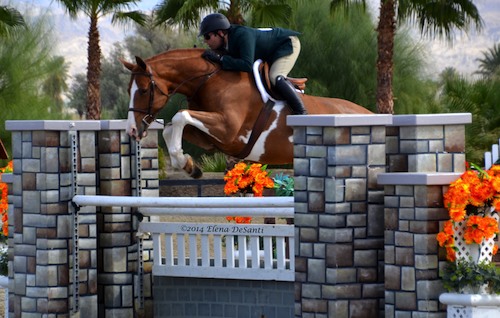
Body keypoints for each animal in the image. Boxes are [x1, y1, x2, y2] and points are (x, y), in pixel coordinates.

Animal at [121, 48, 372, 178]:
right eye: (127, 90)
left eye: (143, 90)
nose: (132, 130)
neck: (209, 80)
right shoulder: (213, 139)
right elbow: (171, 128)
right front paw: (188, 166)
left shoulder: (227, 129)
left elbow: (179, 115)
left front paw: (187, 164)